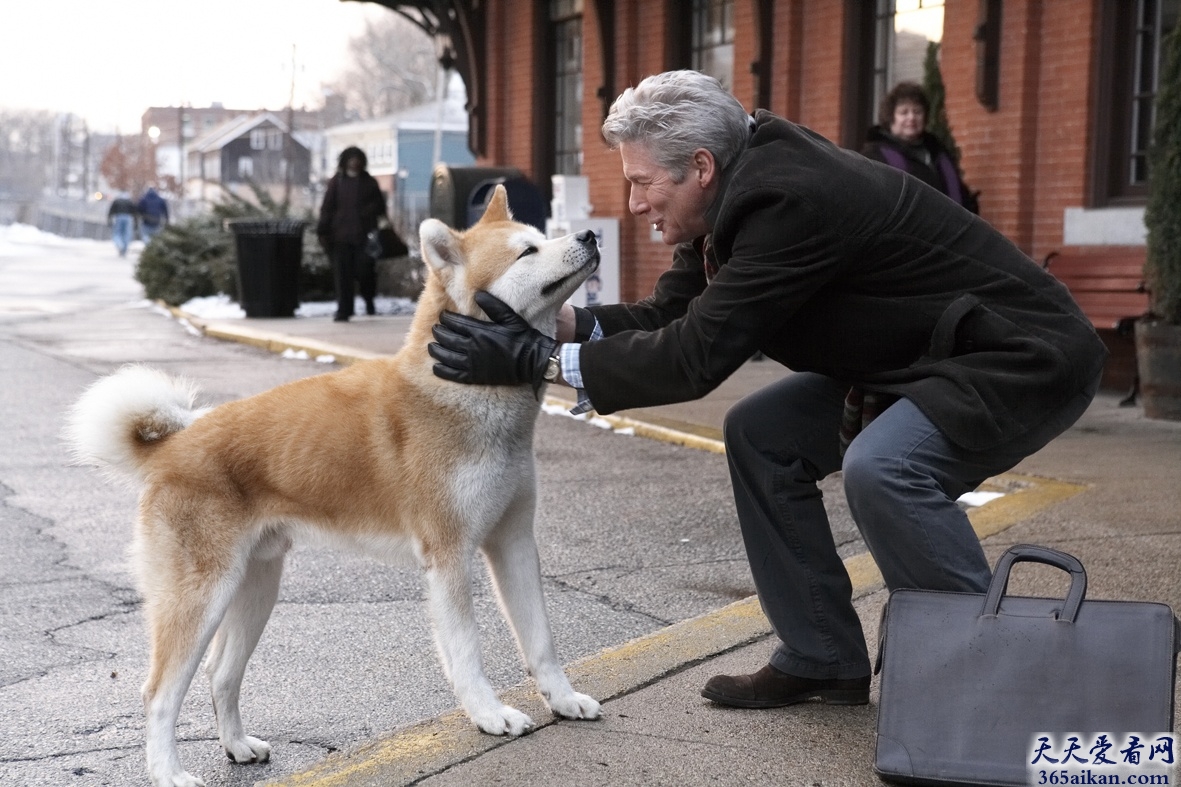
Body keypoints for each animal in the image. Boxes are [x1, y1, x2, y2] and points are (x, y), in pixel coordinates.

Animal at [64, 186, 599, 784]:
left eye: (543, 237)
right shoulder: (450, 556)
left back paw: (238, 745)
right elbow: (467, 651)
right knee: (158, 693)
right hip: (200, 597)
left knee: (221, 674)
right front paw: (489, 714)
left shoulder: (513, 543)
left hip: (255, 588)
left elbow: (541, 640)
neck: (466, 391)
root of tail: (171, 447)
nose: (589, 235)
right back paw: (169, 772)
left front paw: (563, 699)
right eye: (527, 251)